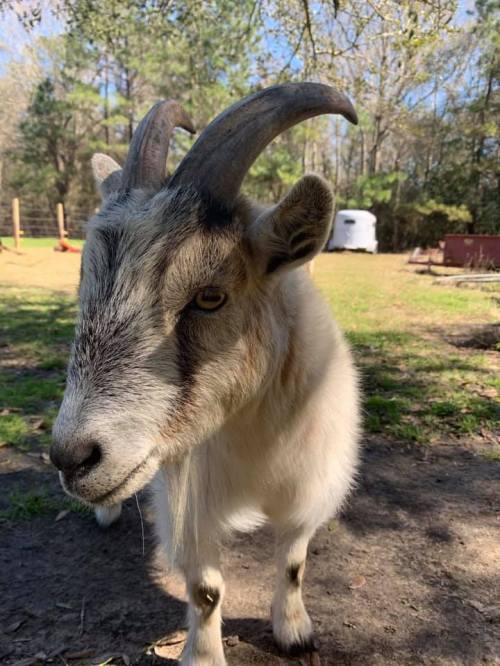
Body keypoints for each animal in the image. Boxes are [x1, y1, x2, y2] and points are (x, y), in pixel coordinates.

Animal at [51, 82, 360, 665]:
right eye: (85, 289)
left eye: (210, 297)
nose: (72, 458)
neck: (254, 444)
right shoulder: (188, 502)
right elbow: (206, 589)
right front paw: (202, 654)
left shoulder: (309, 488)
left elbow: (293, 563)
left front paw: (294, 631)